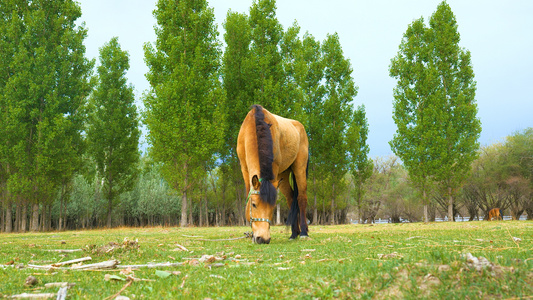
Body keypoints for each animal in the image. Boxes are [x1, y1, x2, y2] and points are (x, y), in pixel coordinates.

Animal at [236, 105, 308, 244]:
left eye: (273, 206)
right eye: (253, 204)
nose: (262, 239)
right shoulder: (244, 169)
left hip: (299, 168)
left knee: (301, 198)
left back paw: (303, 233)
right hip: (284, 174)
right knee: (291, 198)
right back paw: (293, 234)